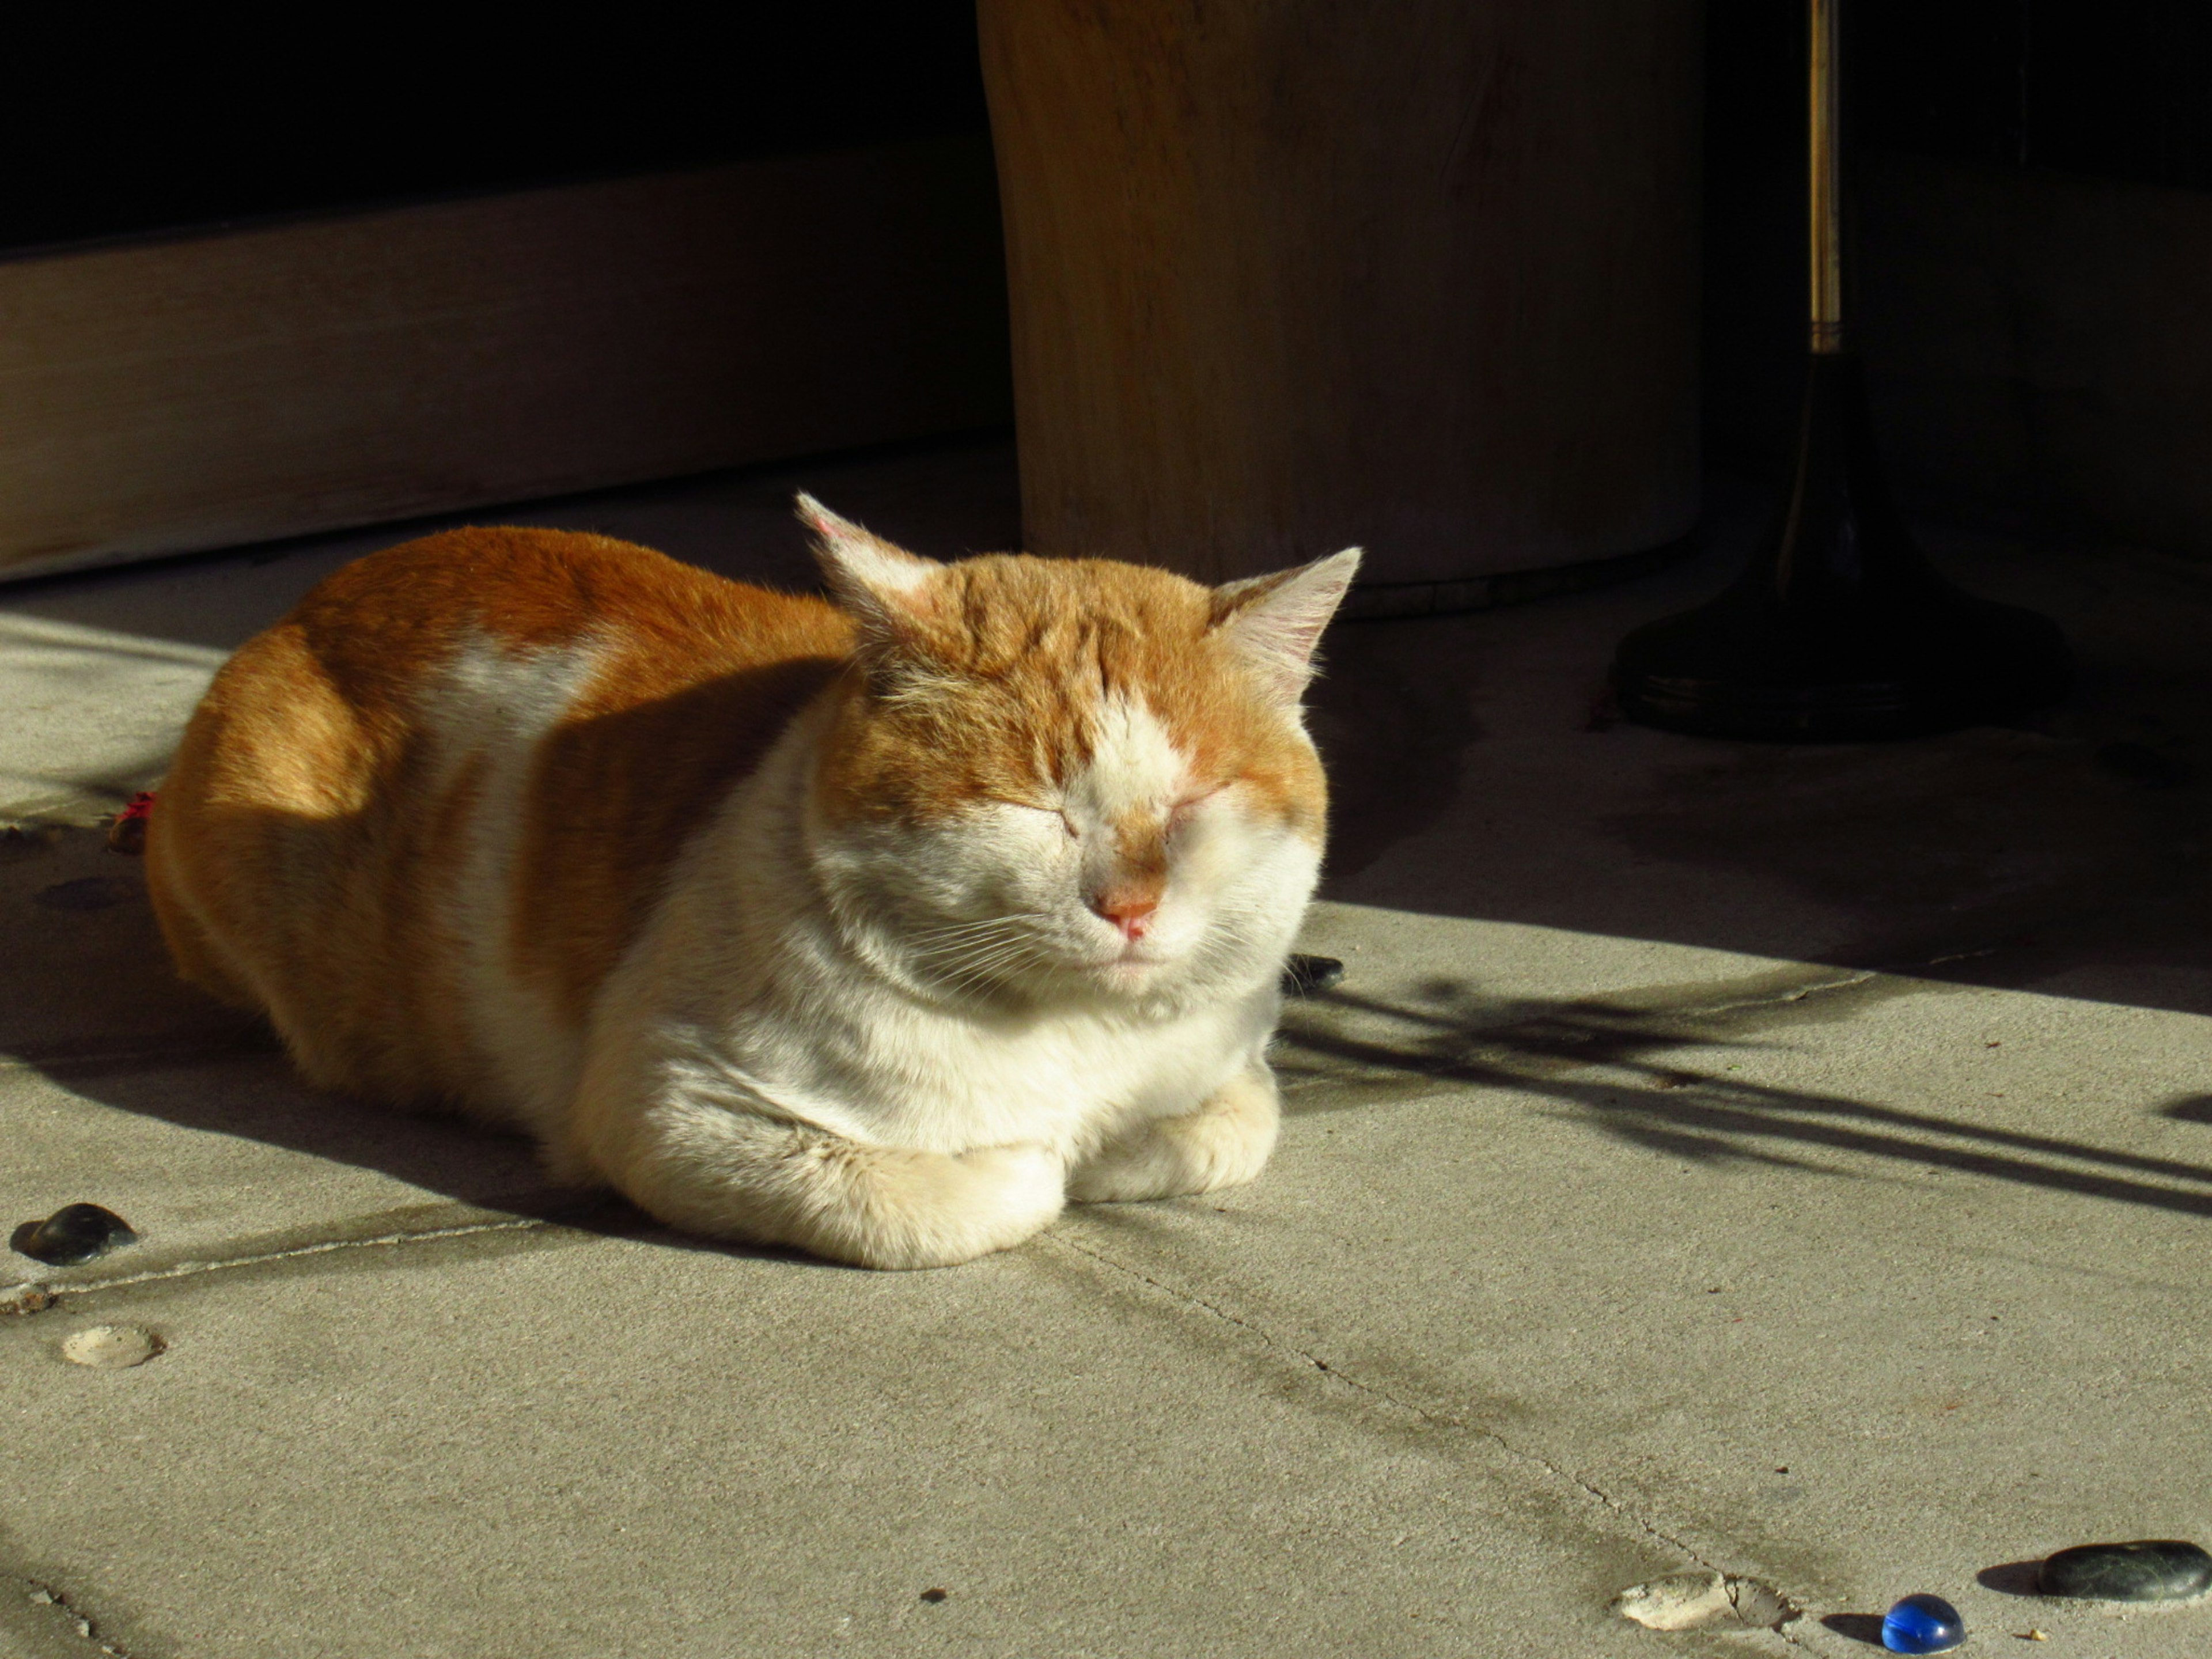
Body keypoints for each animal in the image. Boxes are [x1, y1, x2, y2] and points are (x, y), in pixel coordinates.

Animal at [147, 499, 1354, 1265]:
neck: (1076, 1041)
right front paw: (1041, 1162)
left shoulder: (1225, 1061)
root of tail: (318, 595)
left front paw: (1116, 1147)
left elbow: (1229, 1127)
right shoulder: (671, 1105)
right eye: (1032, 807)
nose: (1131, 904)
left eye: (1196, 802)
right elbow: (985, 1193)